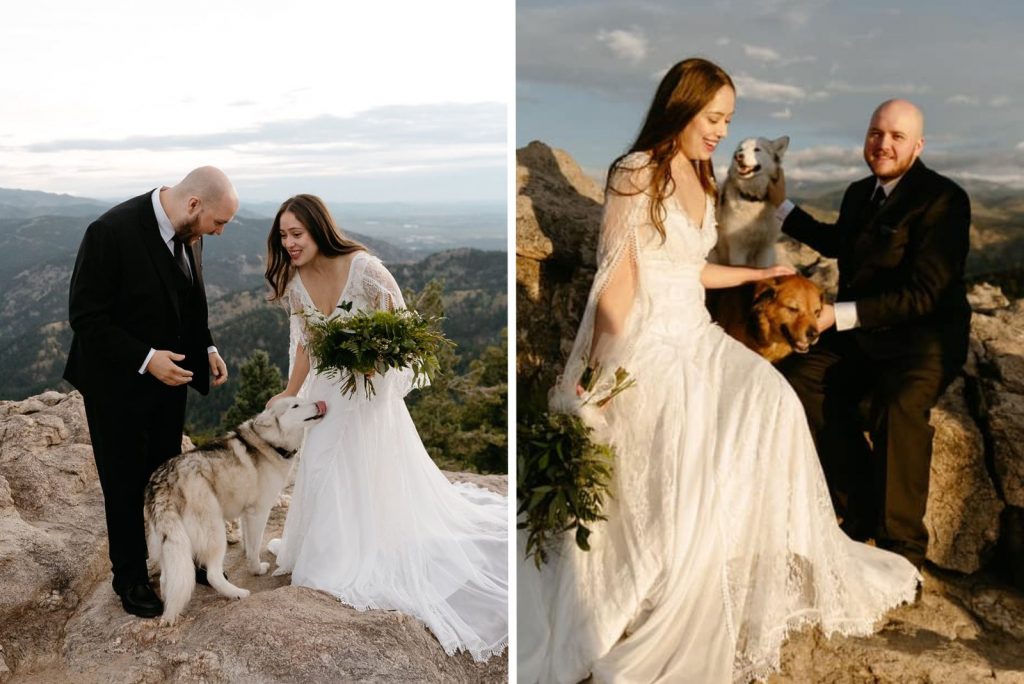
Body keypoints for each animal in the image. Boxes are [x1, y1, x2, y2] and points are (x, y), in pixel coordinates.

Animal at [144, 395, 325, 626]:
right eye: (295, 406)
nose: (320, 403)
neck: (270, 443)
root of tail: (164, 480)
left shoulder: (246, 513)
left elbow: (248, 542)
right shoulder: (259, 512)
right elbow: (255, 547)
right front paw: (256, 569)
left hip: (172, 545)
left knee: (168, 579)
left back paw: (170, 610)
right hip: (215, 532)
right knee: (212, 574)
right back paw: (237, 593)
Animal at [712, 135, 790, 266]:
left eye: (757, 149)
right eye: (740, 150)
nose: (738, 156)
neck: (754, 199)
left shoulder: (765, 249)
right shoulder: (738, 250)